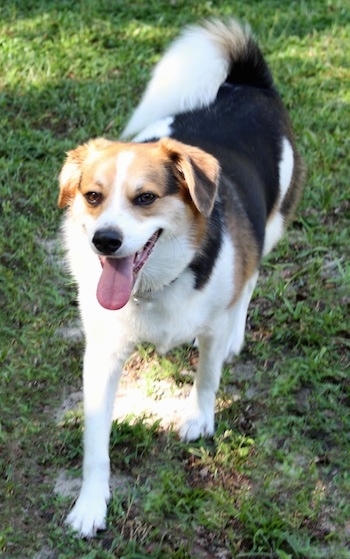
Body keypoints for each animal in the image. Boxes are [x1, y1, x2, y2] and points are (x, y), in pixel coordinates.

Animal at [57, 18, 304, 540]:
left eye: (146, 198)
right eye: (92, 196)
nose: (105, 241)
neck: (155, 286)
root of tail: (246, 82)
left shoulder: (210, 324)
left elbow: (207, 377)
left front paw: (198, 418)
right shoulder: (103, 352)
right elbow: (95, 442)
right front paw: (91, 504)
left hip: (271, 227)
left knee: (250, 280)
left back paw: (237, 333)